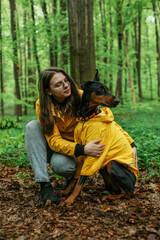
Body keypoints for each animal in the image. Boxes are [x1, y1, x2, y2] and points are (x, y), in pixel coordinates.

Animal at [61, 69, 138, 206]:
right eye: (101, 89)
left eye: (107, 88)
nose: (117, 101)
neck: (86, 118)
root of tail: (134, 183)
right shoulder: (83, 150)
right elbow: (76, 177)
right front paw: (67, 191)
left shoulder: (93, 153)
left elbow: (80, 181)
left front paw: (70, 200)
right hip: (104, 169)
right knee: (113, 188)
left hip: (111, 165)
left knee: (127, 193)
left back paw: (109, 197)